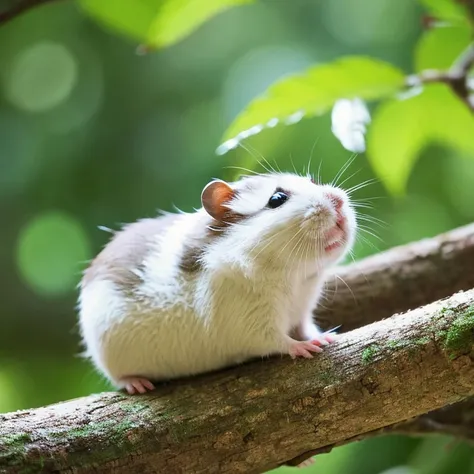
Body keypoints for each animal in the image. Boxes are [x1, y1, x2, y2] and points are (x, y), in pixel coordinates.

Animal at [78, 172, 356, 394]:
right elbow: (279, 341)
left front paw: (324, 337)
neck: (293, 276)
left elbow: (304, 327)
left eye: (313, 181)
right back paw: (136, 383)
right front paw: (305, 346)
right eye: (277, 199)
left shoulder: (300, 311)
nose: (339, 200)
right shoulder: (251, 324)